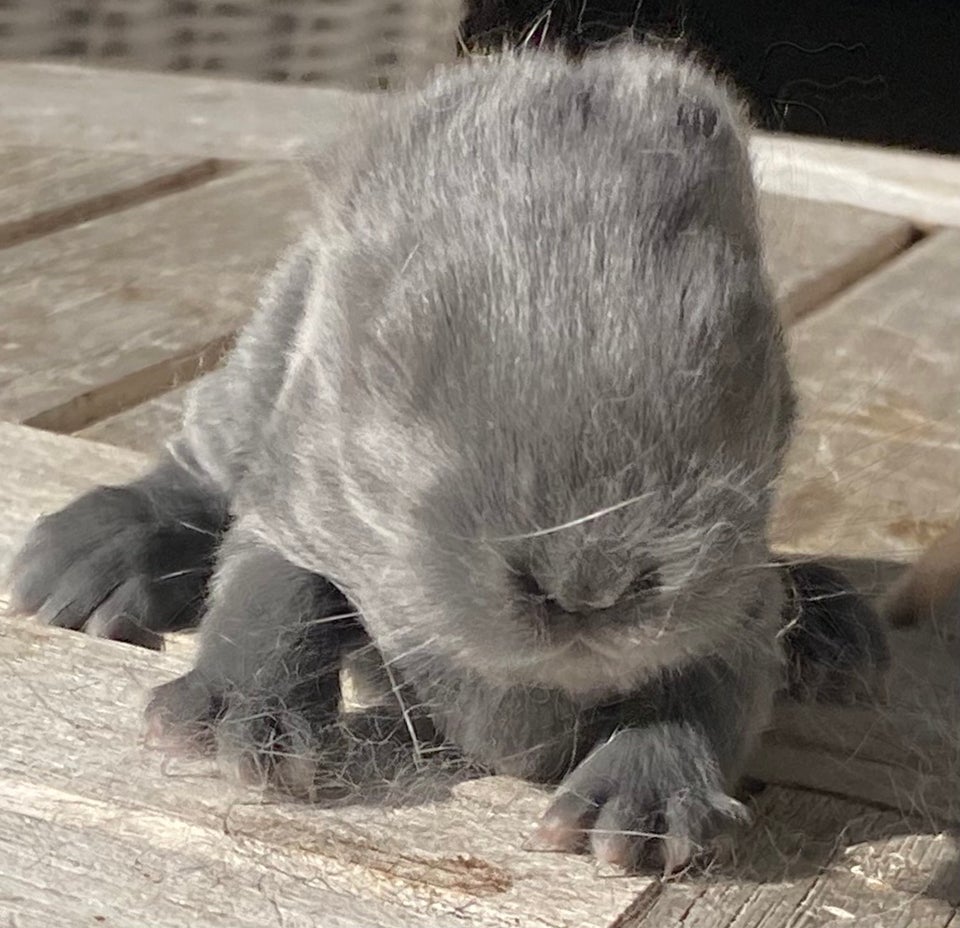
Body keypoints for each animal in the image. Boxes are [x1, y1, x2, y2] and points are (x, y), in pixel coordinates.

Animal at [11, 43, 888, 872]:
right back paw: (91, 559)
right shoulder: (301, 495)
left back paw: (838, 633)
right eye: (392, 359)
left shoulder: (736, 602)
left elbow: (713, 685)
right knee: (196, 466)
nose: (588, 582)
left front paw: (643, 804)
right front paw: (235, 720)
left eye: (752, 360)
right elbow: (271, 586)